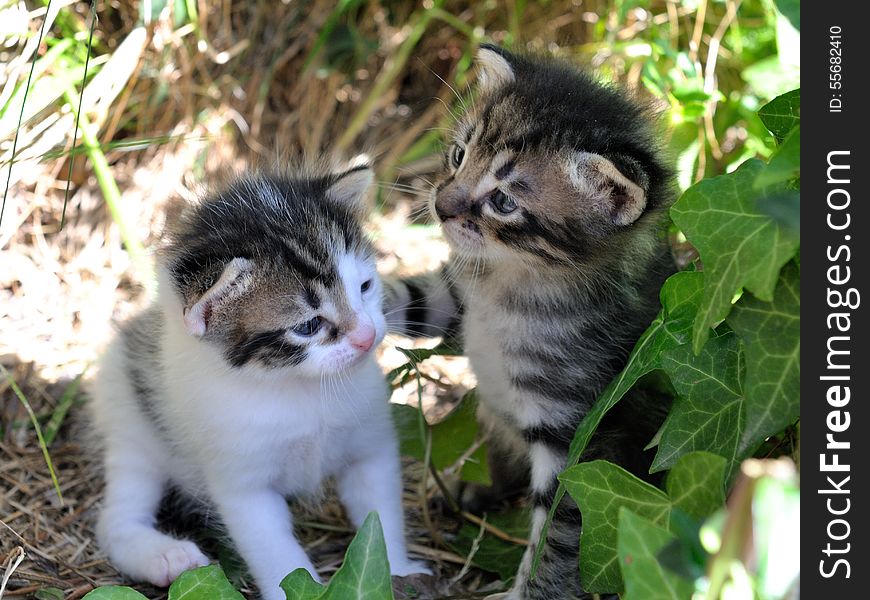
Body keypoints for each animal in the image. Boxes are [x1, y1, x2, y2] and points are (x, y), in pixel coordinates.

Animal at [89, 163, 430, 600]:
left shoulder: (371, 446)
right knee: (116, 517)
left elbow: (379, 515)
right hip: (130, 424)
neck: (298, 386)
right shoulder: (244, 485)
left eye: (365, 287)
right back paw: (165, 556)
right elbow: (278, 555)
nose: (367, 337)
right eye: (308, 326)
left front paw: (397, 570)